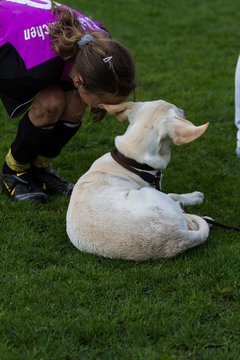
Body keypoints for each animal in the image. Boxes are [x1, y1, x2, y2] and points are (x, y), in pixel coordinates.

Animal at [66, 100, 210, 260]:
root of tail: (177, 235)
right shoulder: (155, 188)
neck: (131, 160)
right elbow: (173, 195)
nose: (183, 110)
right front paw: (195, 197)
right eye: (177, 110)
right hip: (150, 193)